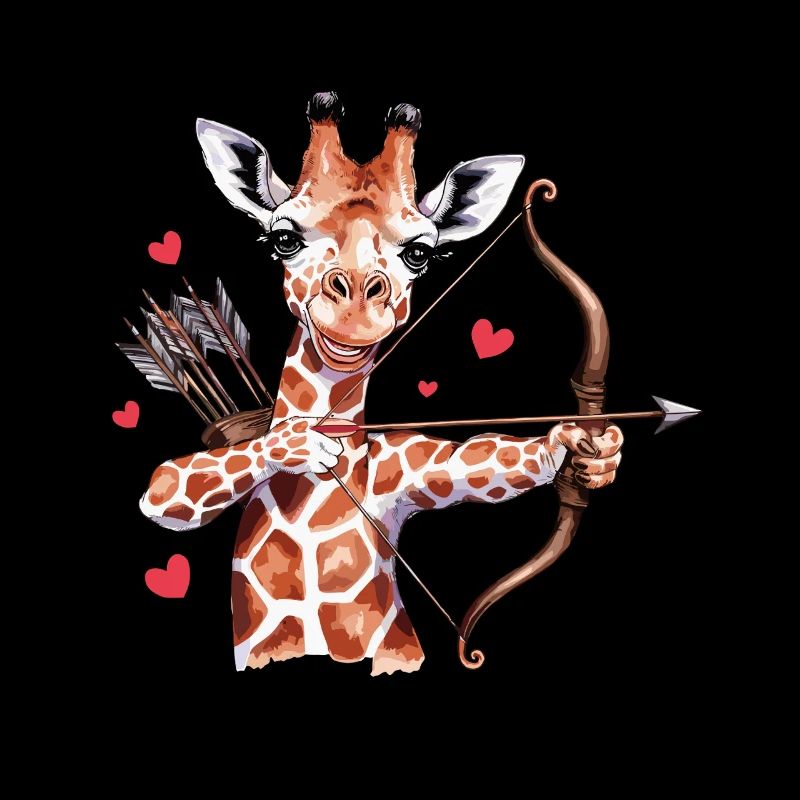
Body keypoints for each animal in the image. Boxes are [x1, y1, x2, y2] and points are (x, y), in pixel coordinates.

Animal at [140, 93, 623, 675]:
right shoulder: (175, 487)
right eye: (284, 238)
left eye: (420, 252)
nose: (354, 311)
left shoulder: (412, 468)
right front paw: (300, 442)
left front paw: (584, 451)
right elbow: (164, 486)